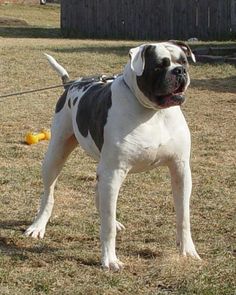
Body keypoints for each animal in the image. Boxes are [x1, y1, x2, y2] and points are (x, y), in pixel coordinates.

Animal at [25, 41, 201, 270]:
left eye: (184, 61)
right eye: (159, 66)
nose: (179, 71)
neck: (153, 112)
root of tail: (71, 84)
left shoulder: (180, 170)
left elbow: (183, 216)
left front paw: (187, 250)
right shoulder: (114, 172)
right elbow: (107, 226)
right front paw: (109, 259)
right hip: (55, 157)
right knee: (49, 194)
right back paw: (38, 226)